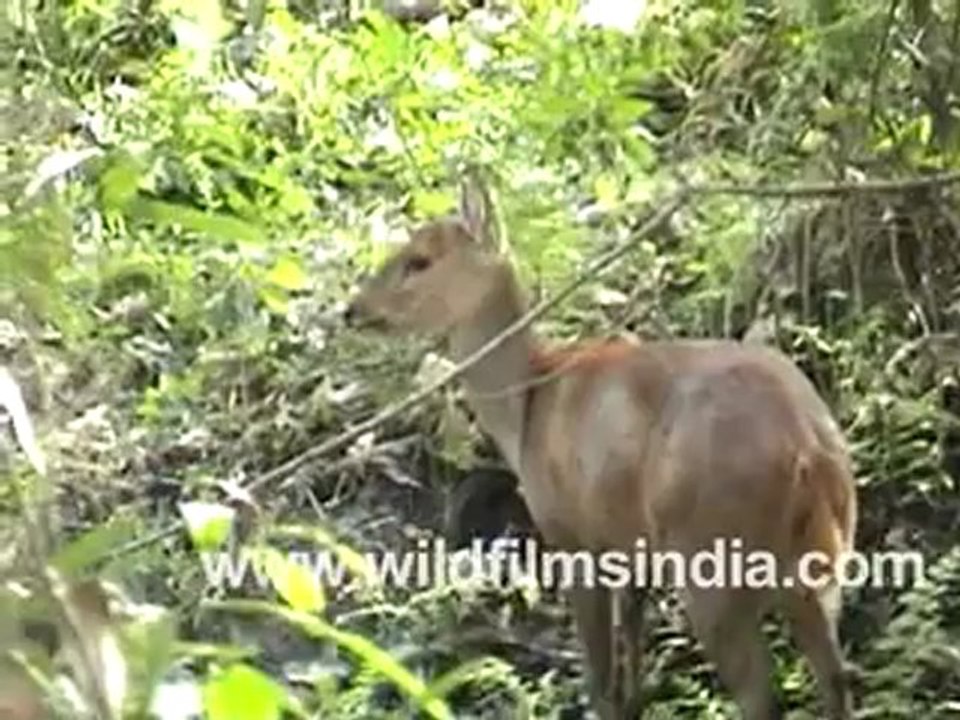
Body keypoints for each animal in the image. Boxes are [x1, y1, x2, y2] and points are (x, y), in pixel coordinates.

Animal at [343, 172, 858, 720]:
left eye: (419, 260)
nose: (352, 310)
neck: (526, 407)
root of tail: (806, 450)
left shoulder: (572, 533)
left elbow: (598, 672)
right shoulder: (630, 542)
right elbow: (631, 637)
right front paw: (638, 698)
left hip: (712, 560)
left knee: (762, 695)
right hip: (821, 563)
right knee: (835, 677)